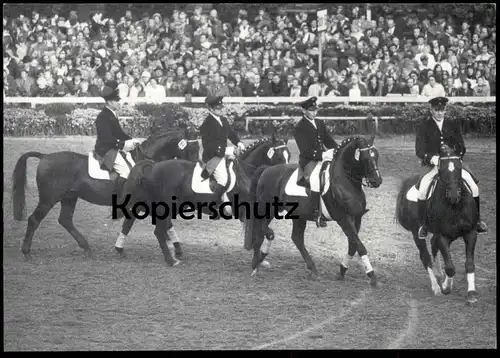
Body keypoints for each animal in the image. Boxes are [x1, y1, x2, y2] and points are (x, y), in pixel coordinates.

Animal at [12, 127, 199, 262]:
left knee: (65, 220)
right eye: (192, 148)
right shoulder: (144, 203)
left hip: (69, 197)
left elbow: (150, 224)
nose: (196, 170)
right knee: (34, 220)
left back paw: (87, 248)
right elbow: (157, 224)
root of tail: (45, 156)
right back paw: (27, 252)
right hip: (49, 198)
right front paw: (176, 250)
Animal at [118, 134, 292, 266]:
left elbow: (260, 235)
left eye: (289, 155)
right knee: (158, 231)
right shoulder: (249, 214)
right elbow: (263, 234)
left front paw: (260, 260)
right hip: (164, 206)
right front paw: (258, 259)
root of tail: (154, 166)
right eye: (278, 156)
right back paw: (171, 260)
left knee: (135, 221)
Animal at [243, 135, 382, 286]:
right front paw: (372, 276)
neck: (344, 181)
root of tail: (266, 170)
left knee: (295, 238)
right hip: (268, 210)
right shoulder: (343, 218)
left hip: (298, 216)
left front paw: (342, 271)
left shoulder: (356, 218)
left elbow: (353, 244)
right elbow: (359, 245)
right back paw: (257, 262)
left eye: (376, 156)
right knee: (263, 231)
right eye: (365, 157)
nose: (377, 181)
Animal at [394, 144, 480, 304]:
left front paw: (471, 293)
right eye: (442, 169)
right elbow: (450, 267)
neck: (455, 207)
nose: (454, 195)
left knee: (433, 246)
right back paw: (436, 287)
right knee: (425, 256)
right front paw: (446, 287)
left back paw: (440, 275)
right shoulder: (443, 236)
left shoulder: (470, 233)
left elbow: (469, 264)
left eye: (459, 167)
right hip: (417, 233)